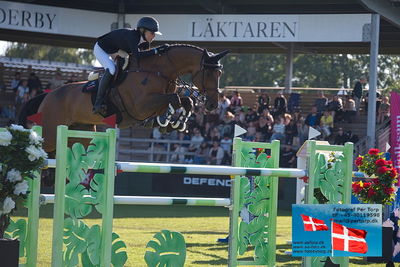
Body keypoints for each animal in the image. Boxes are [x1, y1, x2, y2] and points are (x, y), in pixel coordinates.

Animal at [19, 45, 228, 154]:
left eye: (220, 73)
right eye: (210, 73)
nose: (213, 104)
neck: (158, 71)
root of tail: (47, 95)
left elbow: (186, 102)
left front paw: (175, 123)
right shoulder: (140, 106)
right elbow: (174, 99)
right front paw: (166, 120)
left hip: (80, 134)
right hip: (51, 132)